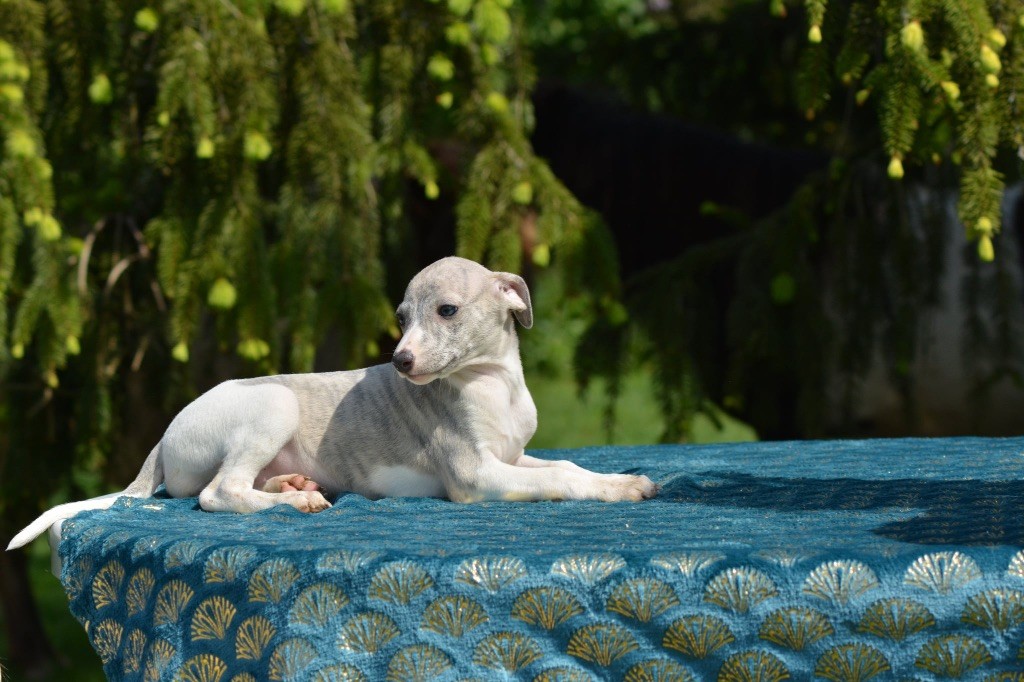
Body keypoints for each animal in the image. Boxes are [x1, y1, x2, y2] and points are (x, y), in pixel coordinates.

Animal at [8, 257, 659, 551]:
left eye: (446, 310)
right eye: (401, 317)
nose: (400, 361)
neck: (491, 381)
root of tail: (164, 438)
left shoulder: (512, 457)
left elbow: (565, 465)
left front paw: (622, 480)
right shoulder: (476, 476)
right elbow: (563, 480)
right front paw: (617, 490)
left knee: (232, 484)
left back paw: (293, 485)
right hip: (272, 406)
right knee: (217, 494)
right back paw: (295, 503)